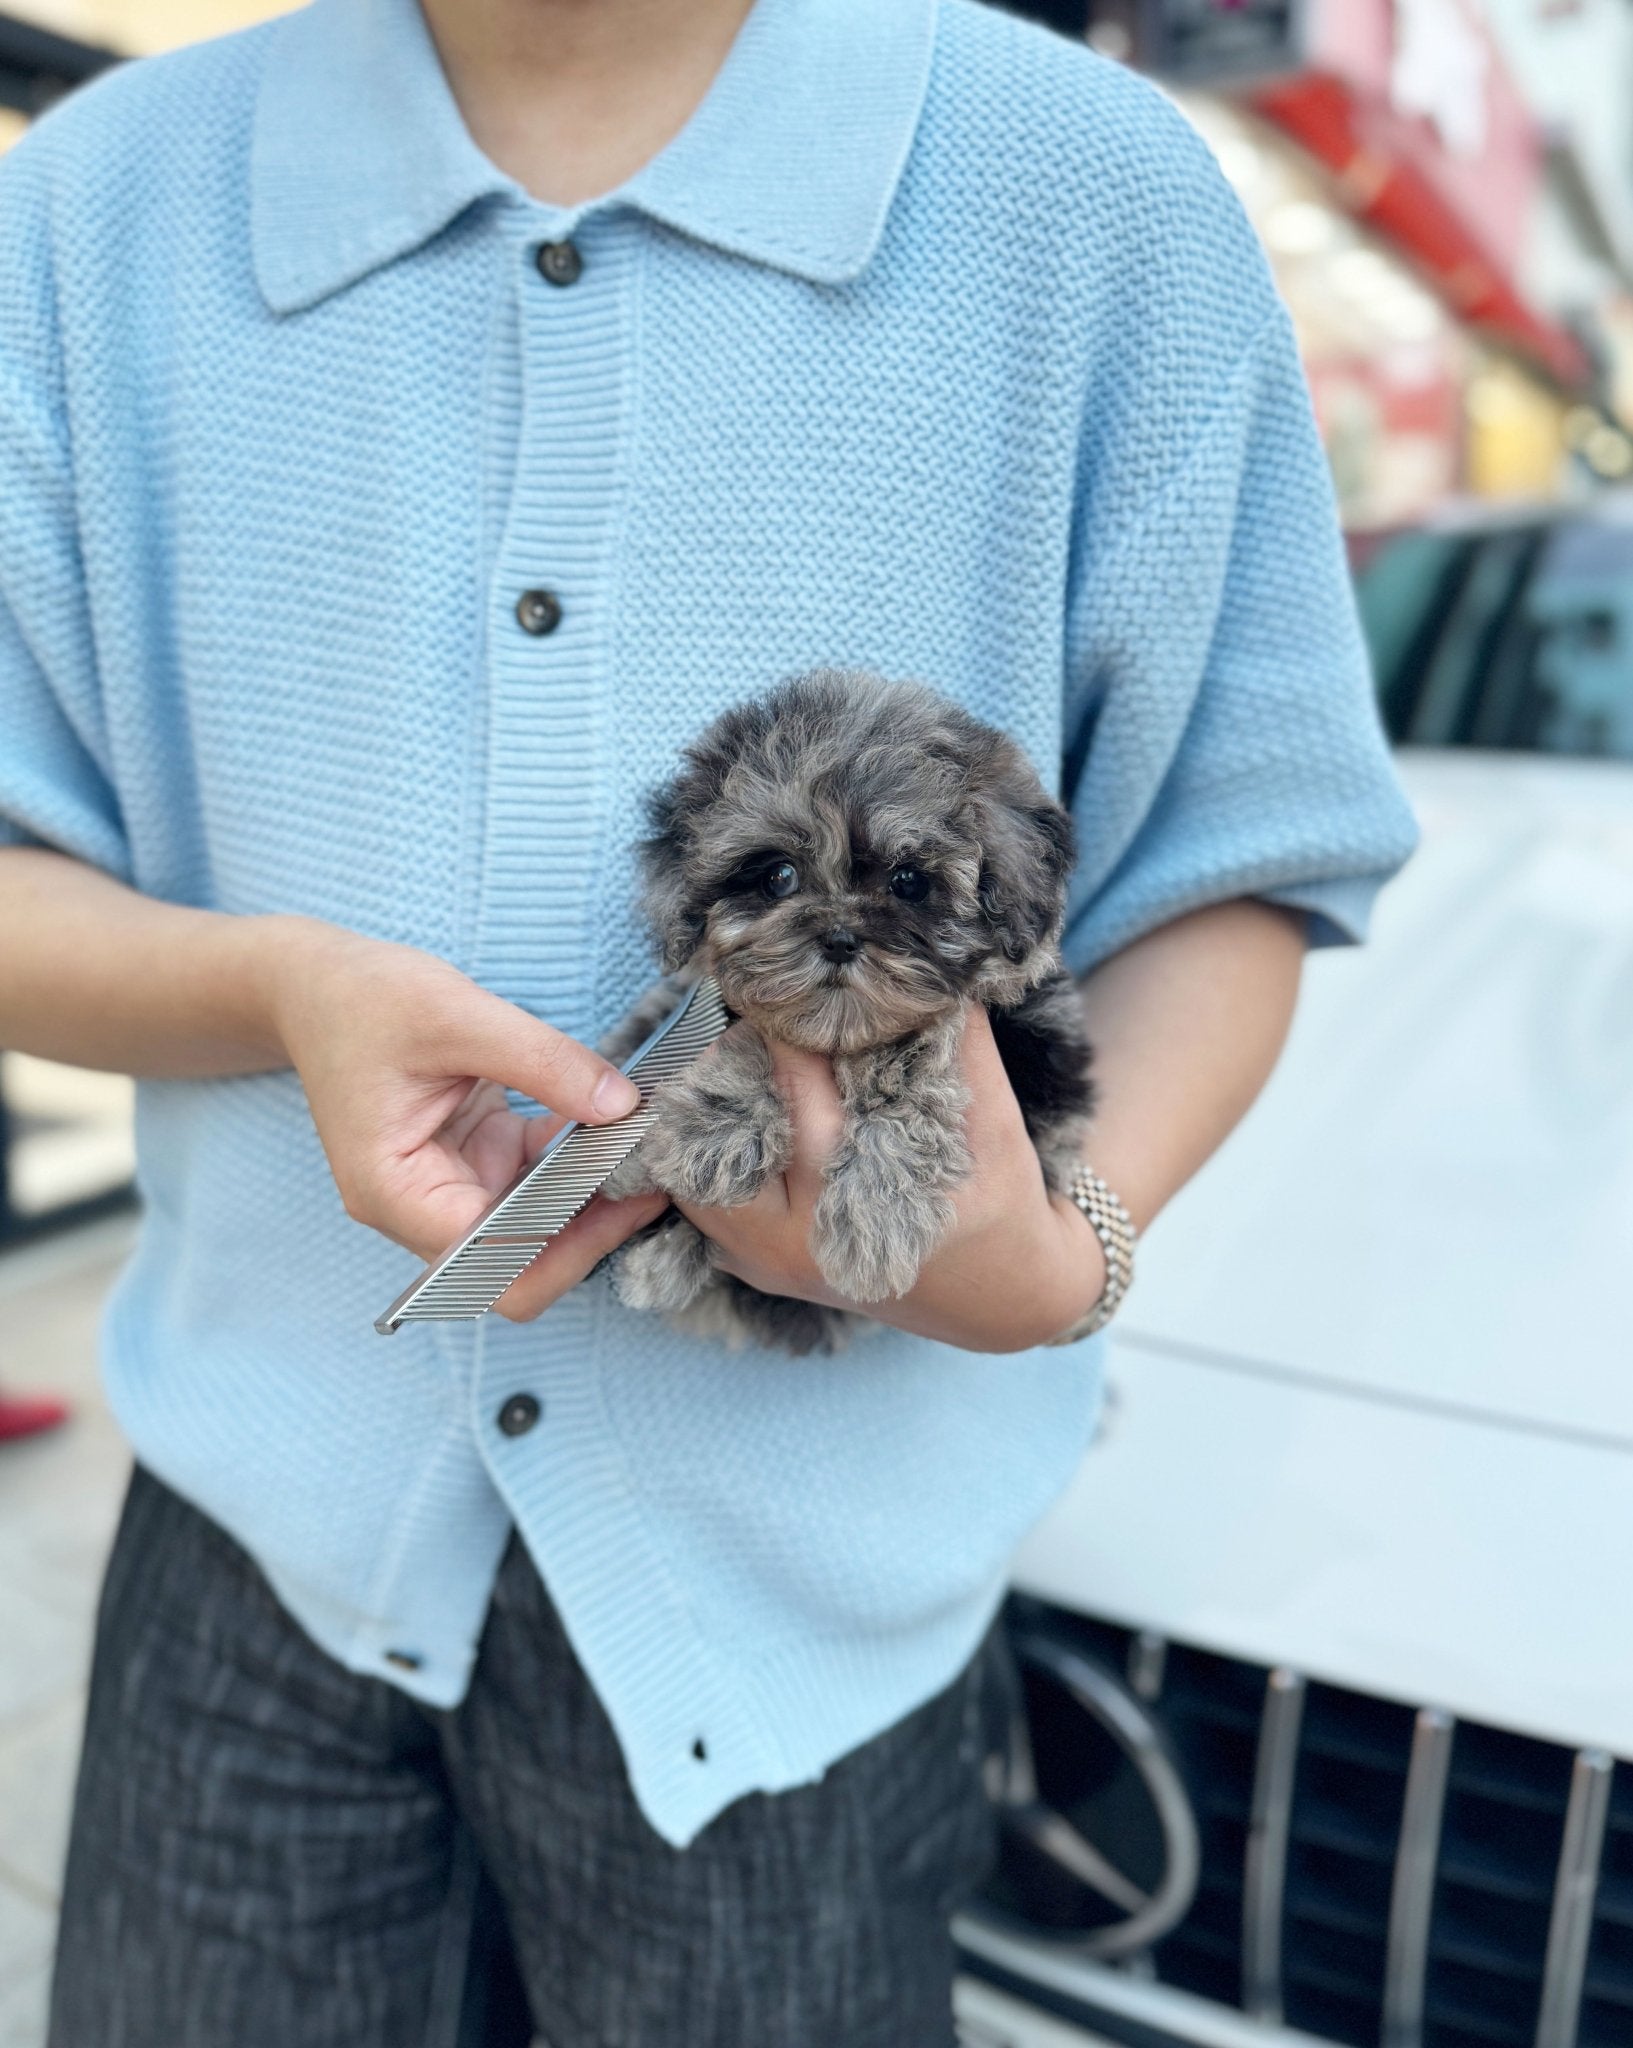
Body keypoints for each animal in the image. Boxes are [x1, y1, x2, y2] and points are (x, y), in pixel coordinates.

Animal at [602, 671, 1098, 1359]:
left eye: (909, 881)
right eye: (778, 876)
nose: (838, 938)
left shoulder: (1031, 1054)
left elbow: (919, 1059)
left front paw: (875, 1216)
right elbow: (740, 1030)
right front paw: (712, 1130)